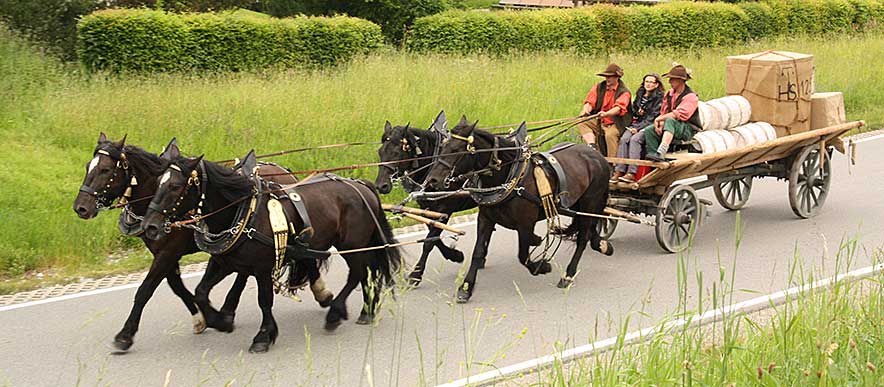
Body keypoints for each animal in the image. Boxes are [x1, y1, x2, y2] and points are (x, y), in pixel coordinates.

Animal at [73, 135, 332, 354]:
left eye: (105, 170)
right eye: (87, 167)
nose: (81, 208)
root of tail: (283, 171)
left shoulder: (169, 252)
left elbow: (146, 290)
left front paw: (125, 335)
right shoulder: (164, 253)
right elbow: (178, 287)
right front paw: (201, 319)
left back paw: (321, 292)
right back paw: (229, 309)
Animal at [143, 152, 402, 354]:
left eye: (175, 186)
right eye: (157, 183)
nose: (149, 226)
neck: (243, 212)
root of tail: (360, 185)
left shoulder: (262, 267)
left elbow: (264, 300)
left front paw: (263, 336)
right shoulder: (224, 262)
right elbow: (200, 292)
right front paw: (221, 321)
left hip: (351, 244)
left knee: (357, 273)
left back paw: (335, 314)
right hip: (358, 245)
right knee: (366, 274)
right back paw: (367, 310)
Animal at [378, 112, 480, 284]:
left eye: (397, 153)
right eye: (380, 152)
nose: (380, 185)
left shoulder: (445, 209)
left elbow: (429, 241)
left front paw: (416, 273)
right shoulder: (426, 208)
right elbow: (434, 237)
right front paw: (454, 255)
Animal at [424, 116, 612, 304]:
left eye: (456, 150)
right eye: (442, 148)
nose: (433, 180)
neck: (509, 180)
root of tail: (597, 154)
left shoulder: (525, 224)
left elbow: (523, 254)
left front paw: (541, 266)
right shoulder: (485, 218)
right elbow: (478, 252)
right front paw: (466, 288)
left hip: (590, 202)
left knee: (582, 238)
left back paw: (568, 275)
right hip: (574, 203)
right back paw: (601, 244)